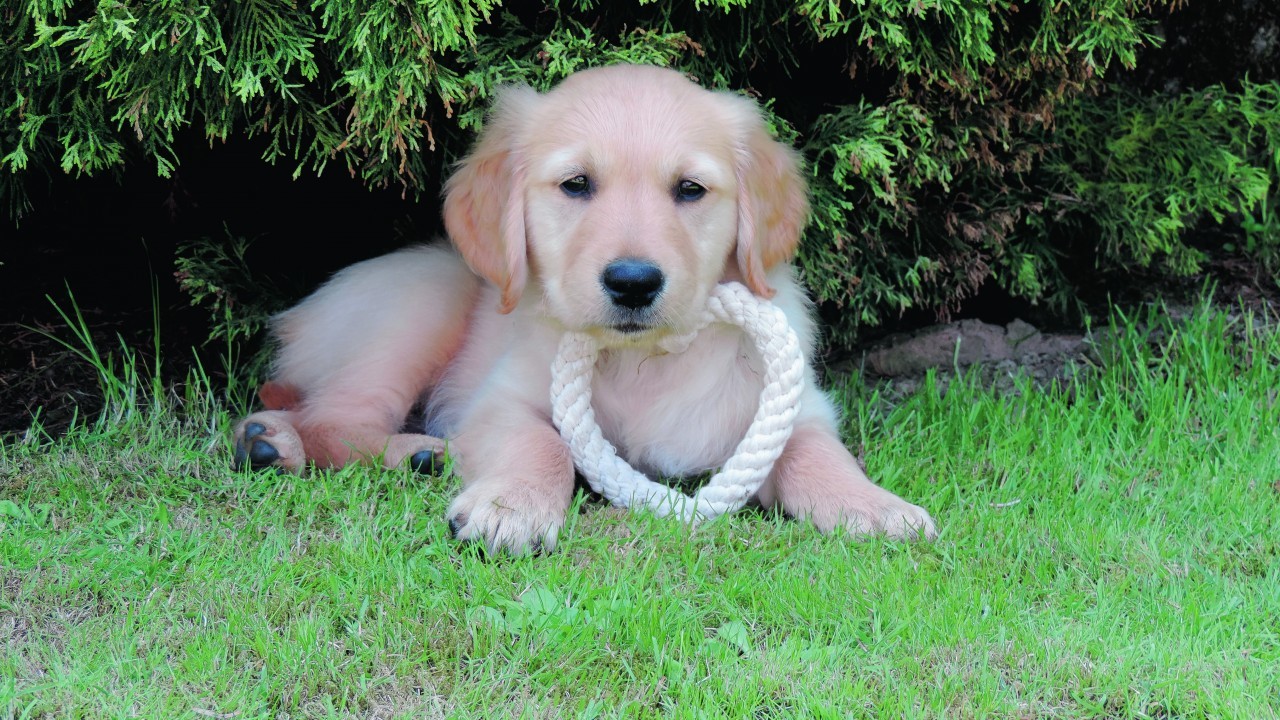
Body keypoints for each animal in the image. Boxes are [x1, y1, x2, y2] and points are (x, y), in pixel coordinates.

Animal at [230, 64, 936, 550]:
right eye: (576, 185)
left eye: (690, 190)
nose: (633, 282)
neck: (647, 361)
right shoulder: (498, 401)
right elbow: (544, 444)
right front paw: (510, 509)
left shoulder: (801, 407)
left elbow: (818, 451)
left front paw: (874, 507)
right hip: (418, 305)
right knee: (334, 419)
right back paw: (366, 452)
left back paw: (292, 445)